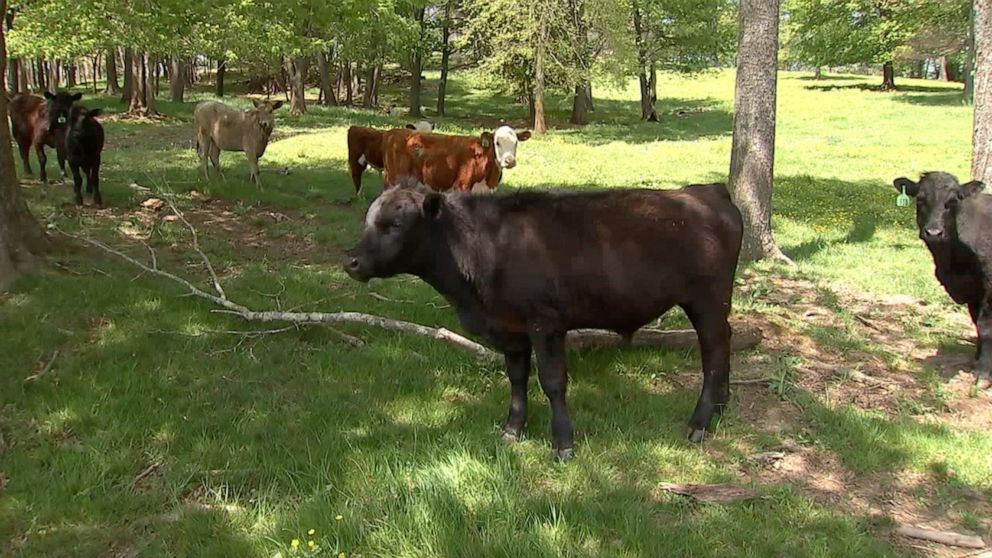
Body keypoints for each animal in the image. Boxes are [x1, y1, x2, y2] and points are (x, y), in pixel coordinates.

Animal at [344, 180, 744, 460]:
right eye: (368, 220)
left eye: (395, 224)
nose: (352, 261)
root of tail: (707, 191)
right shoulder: (511, 330)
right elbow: (517, 378)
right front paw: (512, 429)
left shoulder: (546, 325)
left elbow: (552, 382)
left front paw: (562, 442)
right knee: (724, 343)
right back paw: (721, 407)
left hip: (707, 301)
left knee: (713, 351)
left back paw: (700, 422)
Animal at [382, 124, 531, 194]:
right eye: (497, 143)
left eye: (516, 143)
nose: (509, 161)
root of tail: (393, 133)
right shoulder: (462, 186)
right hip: (394, 180)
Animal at [893, 172, 992, 384]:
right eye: (920, 199)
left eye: (952, 201)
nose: (933, 232)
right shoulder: (973, 290)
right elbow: (977, 324)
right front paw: (977, 360)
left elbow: (985, 326)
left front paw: (983, 372)